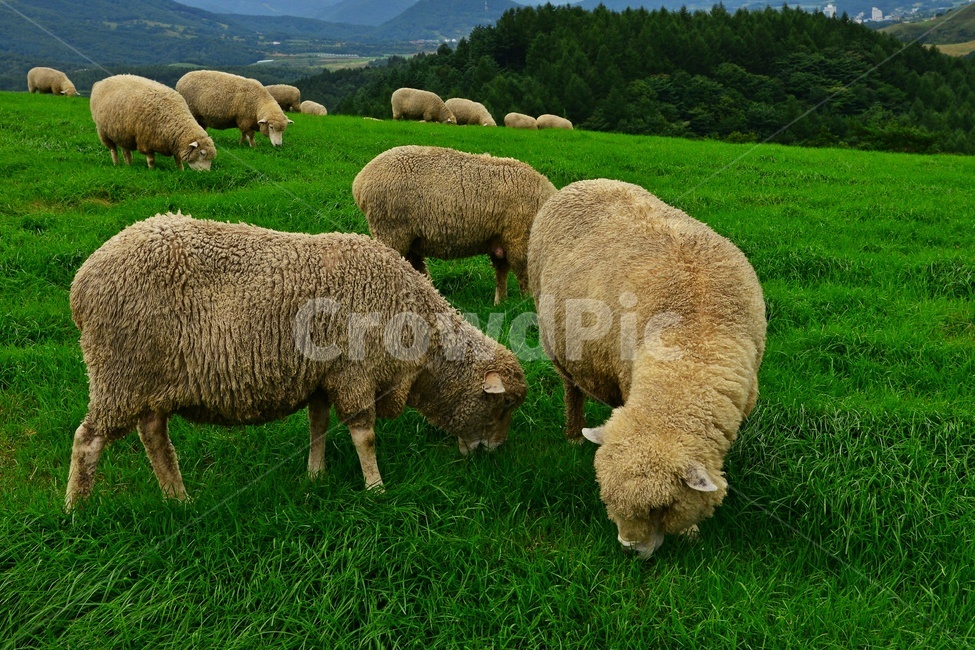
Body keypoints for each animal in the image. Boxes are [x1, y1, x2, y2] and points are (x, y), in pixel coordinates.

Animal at [65, 211, 527, 511]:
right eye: (503, 403)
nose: (494, 453)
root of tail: (81, 281)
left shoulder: (322, 376)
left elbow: (317, 425)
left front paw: (315, 476)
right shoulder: (354, 373)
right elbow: (365, 437)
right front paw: (376, 489)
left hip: (146, 380)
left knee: (154, 438)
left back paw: (179, 500)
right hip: (119, 371)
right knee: (87, 439)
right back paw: (77, 511)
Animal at [353, 145, 557, 305]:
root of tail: (360, 182)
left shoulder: (501, 238)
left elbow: (502, 273)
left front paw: (502, 304)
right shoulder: (519, 238)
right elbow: (524, 276)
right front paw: (525, 304)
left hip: (410, 239)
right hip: (390, 230)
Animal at [527, 179, 766, 558]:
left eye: (662, 507)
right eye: (607, 499)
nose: (630, 549)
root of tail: (581, 184)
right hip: (555, 344)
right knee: (571, 390)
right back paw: (574, 433)